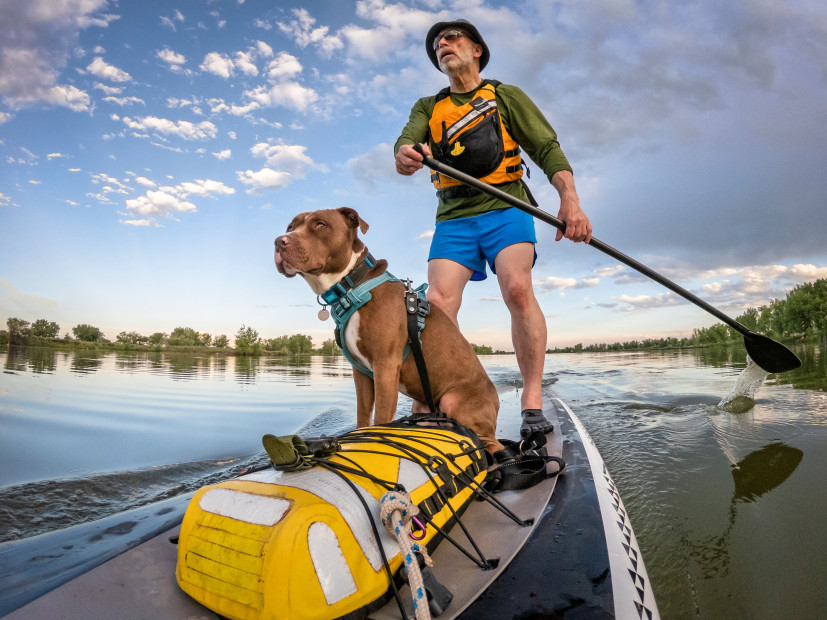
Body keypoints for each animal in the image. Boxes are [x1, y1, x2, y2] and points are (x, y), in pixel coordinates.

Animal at [274, 206, 504, 452]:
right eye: (291, 226)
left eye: (320, 224)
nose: (279, 241)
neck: (352, 285)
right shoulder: (361, 374)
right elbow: (363, 416)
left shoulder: (385, 366)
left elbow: (381, 419)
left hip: (454, 401)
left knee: (490, 442)